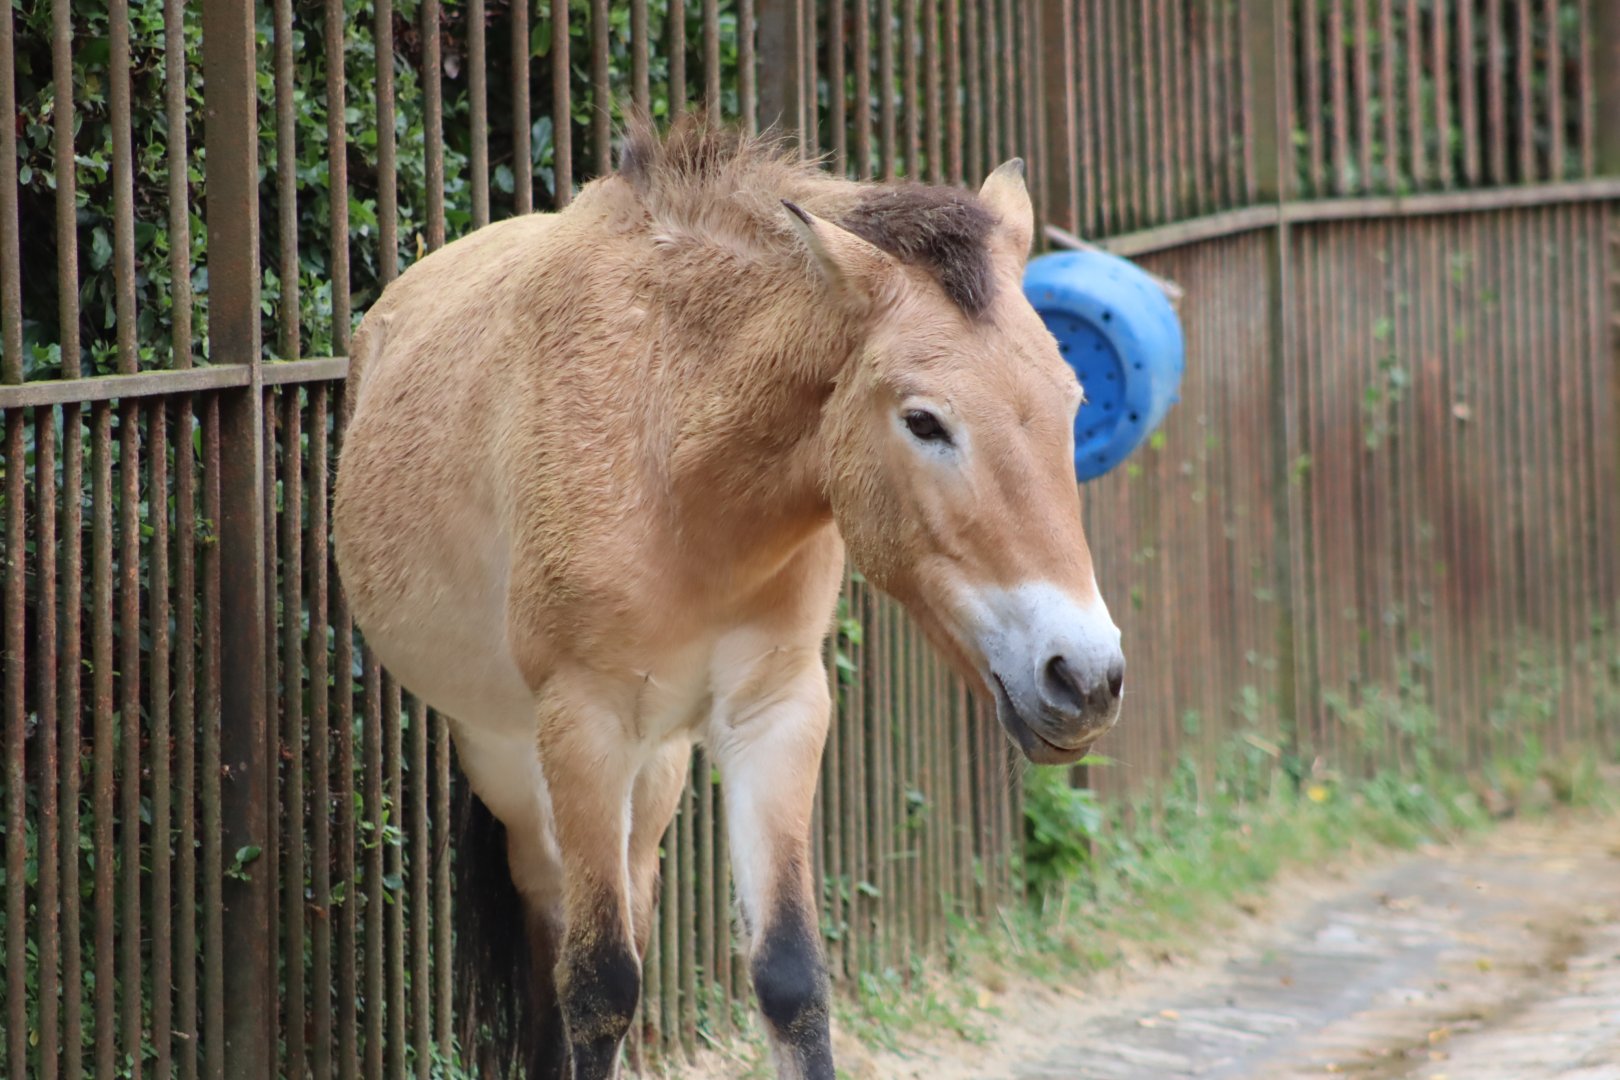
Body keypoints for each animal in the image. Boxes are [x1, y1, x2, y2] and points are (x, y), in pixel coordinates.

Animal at [332, 118, 1125, 1080]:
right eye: (924, 421)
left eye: (1073, 401)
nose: (1083, 677)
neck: (679, 462)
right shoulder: (585, 725)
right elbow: (598, 984)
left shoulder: (776, 715)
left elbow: (791, 976)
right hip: (510, 754)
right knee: (558, 918)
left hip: (658, 764)